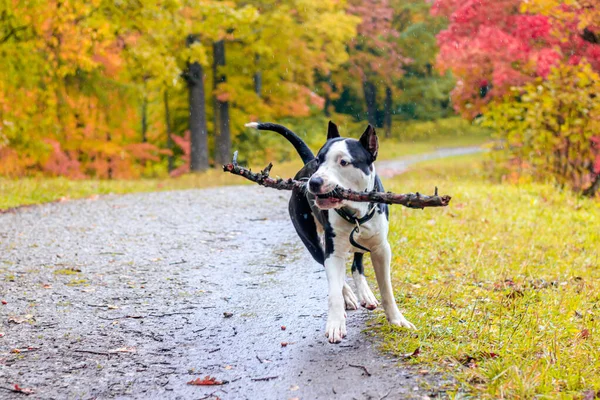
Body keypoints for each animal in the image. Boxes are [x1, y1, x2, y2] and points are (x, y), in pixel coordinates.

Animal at [246, 120, 414, 342]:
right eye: (319, 161)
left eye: (344, 162)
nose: (314, 182)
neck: (355, 212)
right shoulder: (333, 252)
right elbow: (333, 290)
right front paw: (335, 323)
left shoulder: (381, 249)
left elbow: (386, 289)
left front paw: (397, 319)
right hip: (313, 243)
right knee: (332, 269)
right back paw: (349, 297)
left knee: (356, 264)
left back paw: (365, 294)